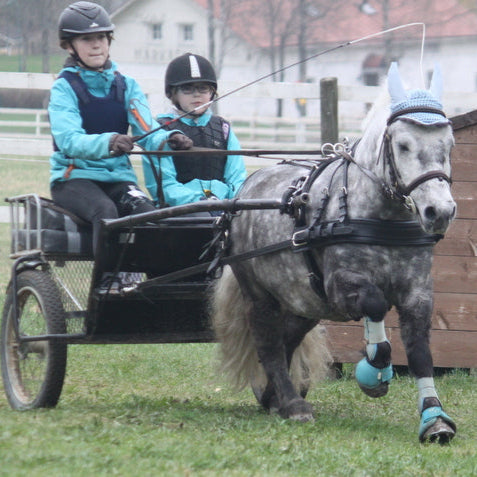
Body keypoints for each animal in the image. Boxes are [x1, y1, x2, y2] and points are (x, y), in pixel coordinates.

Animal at [212, 63, 458, 442]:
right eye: (403, 145)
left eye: (449, 144)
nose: (440, 211)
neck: (379, 216)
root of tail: (245, 191)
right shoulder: (342, 285)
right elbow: (376, 309)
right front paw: (374, 373)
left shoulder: (417, 292)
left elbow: (420, 352)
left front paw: (435, 418)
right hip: (260, 294)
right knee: (268, 342)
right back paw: (292, 404)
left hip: (304, 301)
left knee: (287, 338)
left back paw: (273, 395)